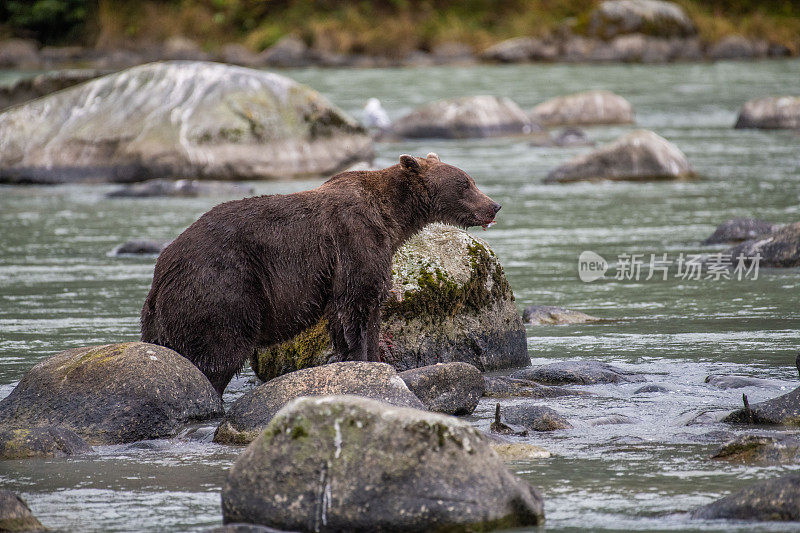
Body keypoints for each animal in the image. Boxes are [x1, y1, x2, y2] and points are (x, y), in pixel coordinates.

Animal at [138, 152, 500, 392]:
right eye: (465, 184)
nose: (494, 205)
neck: (392, 217)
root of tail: (161, 274)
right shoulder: (354, 240)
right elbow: (357, 305)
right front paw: (364, 360)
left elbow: (356, 314)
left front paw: (369, 360)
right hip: (223, 287)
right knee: (217, 352)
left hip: (164, 317)